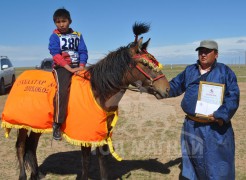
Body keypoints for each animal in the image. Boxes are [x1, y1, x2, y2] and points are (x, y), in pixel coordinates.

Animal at [1, 21, 169, 179]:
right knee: (21, 147)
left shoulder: (101, 132)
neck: (98, 91)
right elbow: (86, 160)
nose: (167, 89)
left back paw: (37, 174)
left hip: (37, 124)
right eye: (145, 64)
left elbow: (101, 158)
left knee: (31, 146)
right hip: (21, 124)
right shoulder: (85, 133)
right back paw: (23, 176)